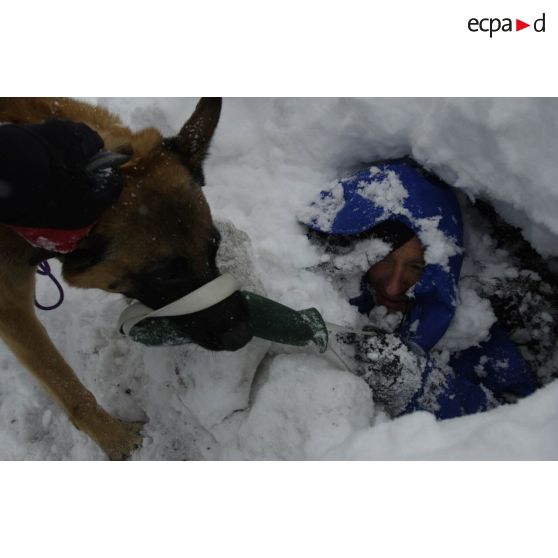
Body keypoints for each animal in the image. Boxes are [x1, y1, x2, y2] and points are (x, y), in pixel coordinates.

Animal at [0, 98, 254, 462]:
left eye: (215, 246)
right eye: (164, 274)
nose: (244, 333)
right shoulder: (12, 309)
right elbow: (66, 384)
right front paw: (117, 440)